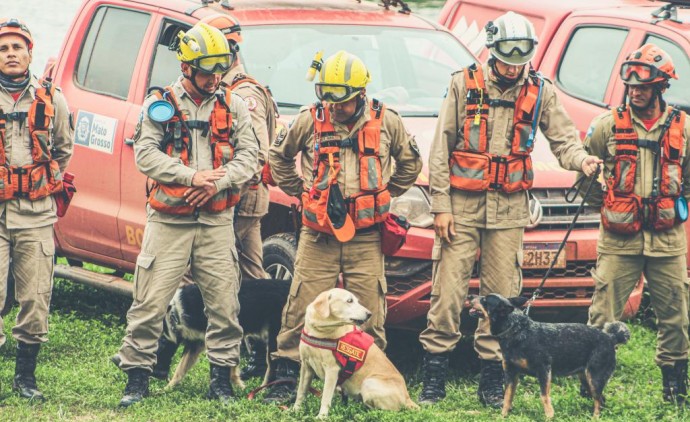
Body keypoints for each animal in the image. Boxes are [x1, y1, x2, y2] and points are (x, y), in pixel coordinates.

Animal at [155, 278, 288, 390]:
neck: (176, 312)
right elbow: (180, 369)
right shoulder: (196, 343)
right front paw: (167, 388)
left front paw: (239, 387)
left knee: (273, 366)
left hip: (275, 339)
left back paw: (263, 389)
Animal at [292, 288, 416, 418]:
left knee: (385, 411)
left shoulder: (332, 370)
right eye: (350, 300)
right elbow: (301, 391)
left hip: (369, 383)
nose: (369, 314)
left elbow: (325, 397)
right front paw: (295, 410)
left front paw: (321, 417)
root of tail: (408, 398)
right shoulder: (306, 366)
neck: (319, 331)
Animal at [468, 294, 628, 418]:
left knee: (598, 400)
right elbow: (507, 398)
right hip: (586, 380)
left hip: (594, 378)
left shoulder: (543, 370)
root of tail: (611, 337)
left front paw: (549, 416)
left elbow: (544, 396)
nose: (470, 296)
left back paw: (595, 418)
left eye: (485, 300)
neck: (516, 330)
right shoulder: (511, 374)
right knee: (601, 399)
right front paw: (503, 416)